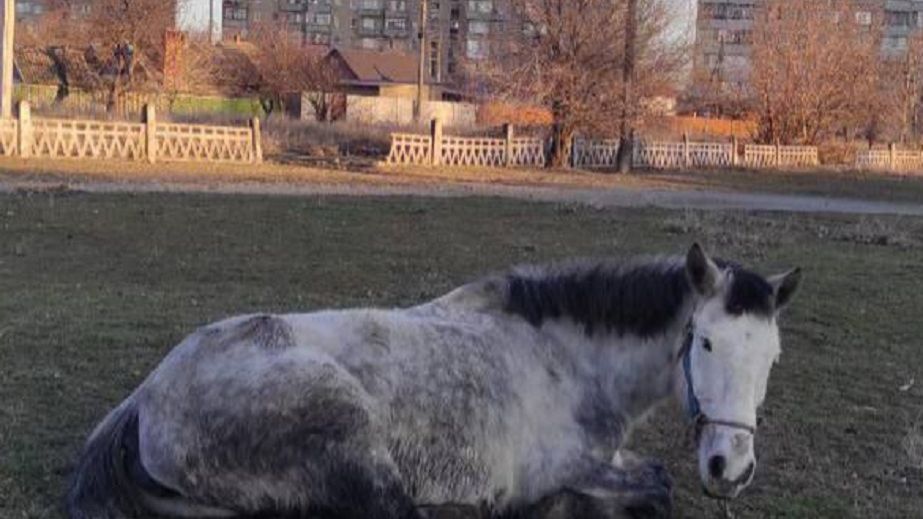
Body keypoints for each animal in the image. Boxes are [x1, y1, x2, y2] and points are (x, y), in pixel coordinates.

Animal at [67, 245, 800, 519]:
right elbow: (654, 488)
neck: (565, 359)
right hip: (347, 428)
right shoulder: (564, 466)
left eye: (771, 356)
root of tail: (146, 397)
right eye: (705, 342)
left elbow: (653, 476)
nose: (730, 466)